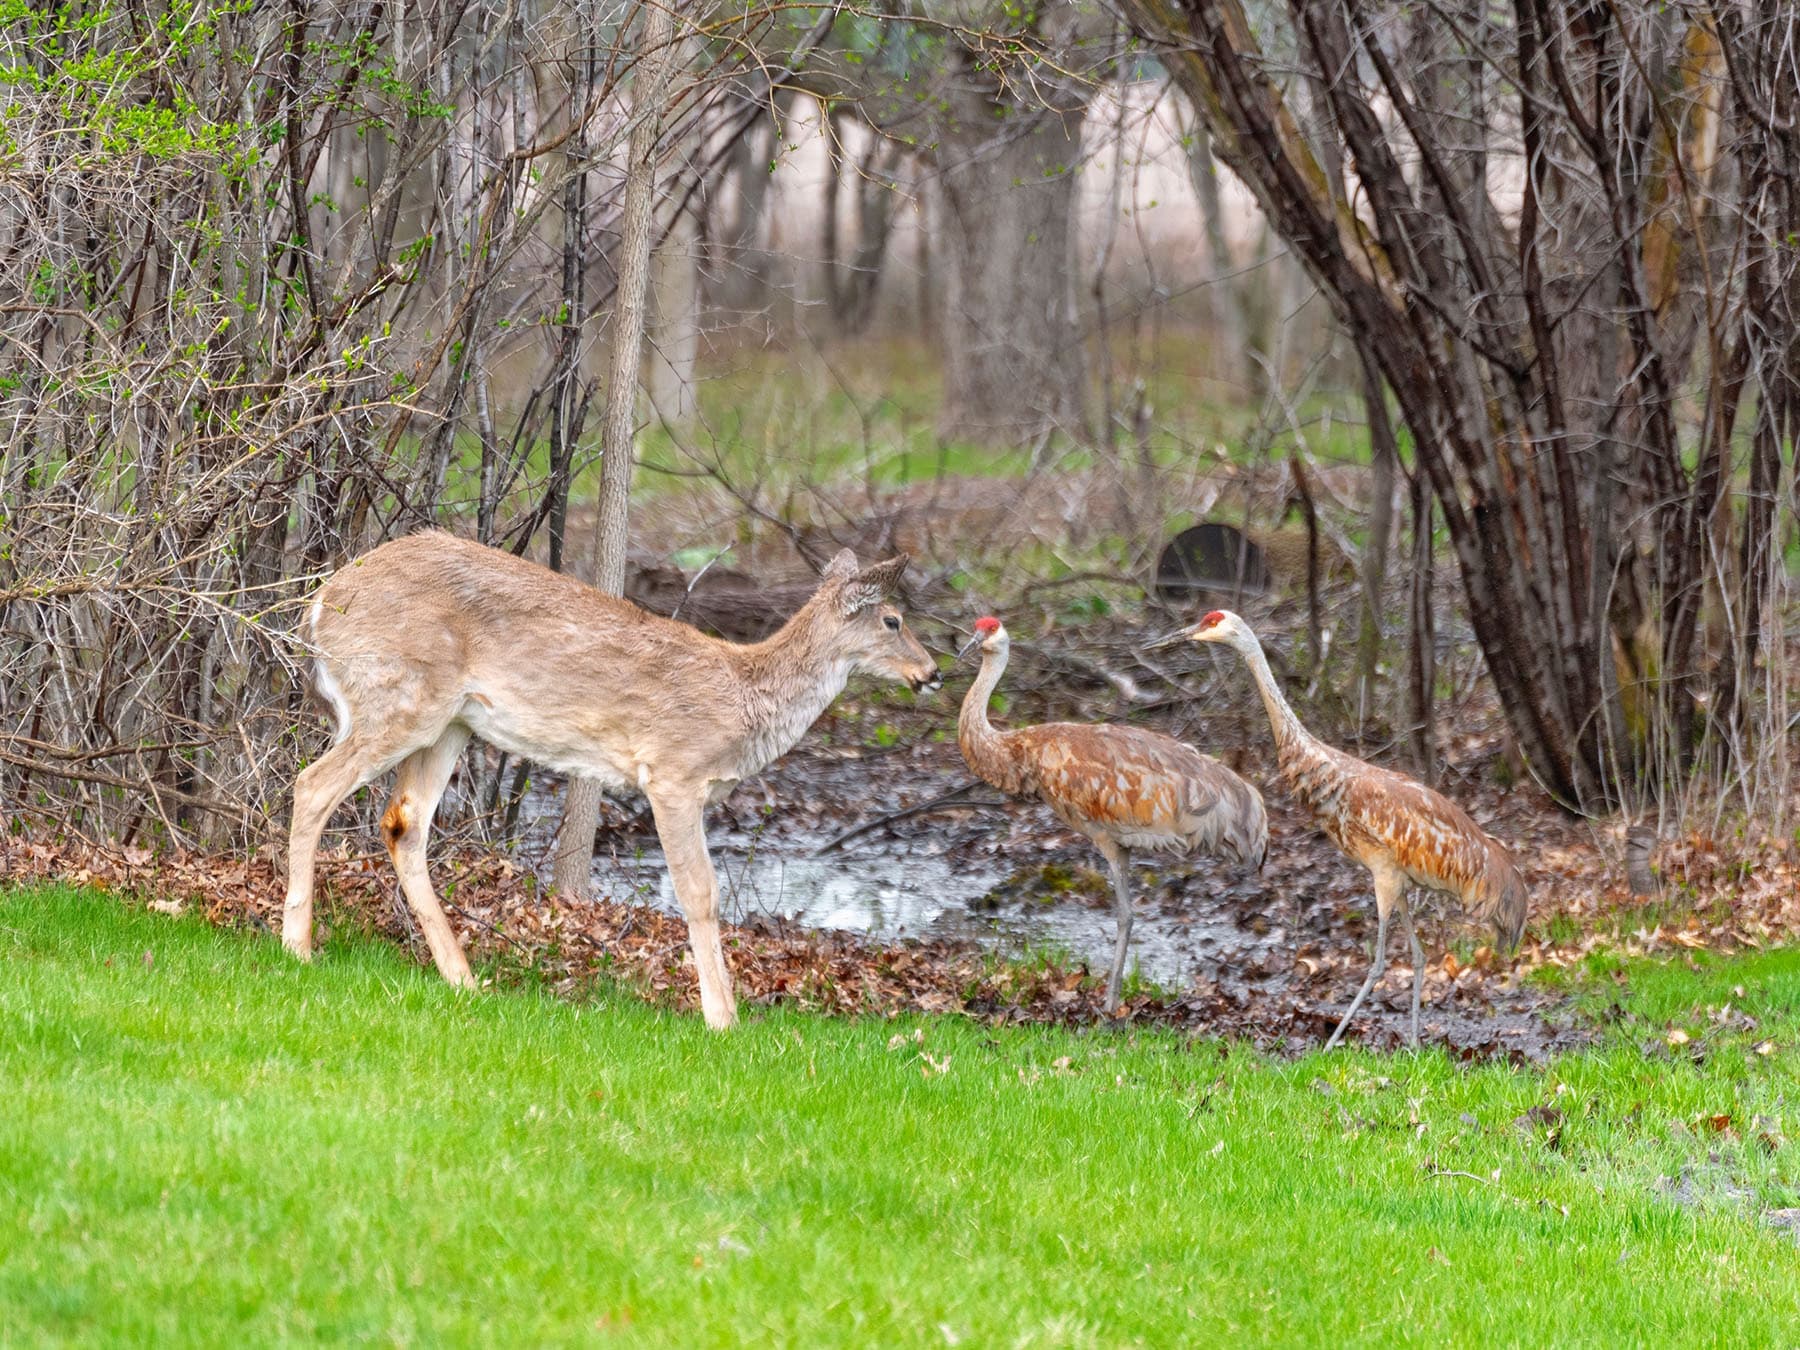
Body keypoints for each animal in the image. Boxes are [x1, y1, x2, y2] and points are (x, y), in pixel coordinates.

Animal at [282, 530, 941, 1029]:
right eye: (893, 620)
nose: (932, 672)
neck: (743, 701)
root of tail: (318, 606)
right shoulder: (673, 772)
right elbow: (700, 892)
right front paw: (722, 1020)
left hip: (451, 722)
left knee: (403, 823)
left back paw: (465, 981)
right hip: (397, 697)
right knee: (312, 785)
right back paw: (299, 949)